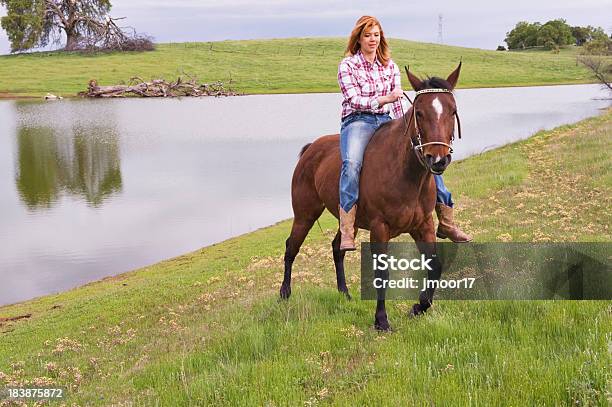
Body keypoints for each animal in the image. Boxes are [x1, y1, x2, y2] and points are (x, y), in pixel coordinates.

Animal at [280, 63, 462, 332]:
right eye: (419, 113)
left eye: (452, 111)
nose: (437, 159)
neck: (404, 173)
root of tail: (311, 148)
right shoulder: (380, 228)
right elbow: (381, 274)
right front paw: (381, 320)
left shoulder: (423, 225)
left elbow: (435, 266)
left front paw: (419, 307)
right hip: (305, 214)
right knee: (292, 246)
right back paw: (284, 293)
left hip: (349, 222)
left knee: (338, 248)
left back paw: (344, 293)